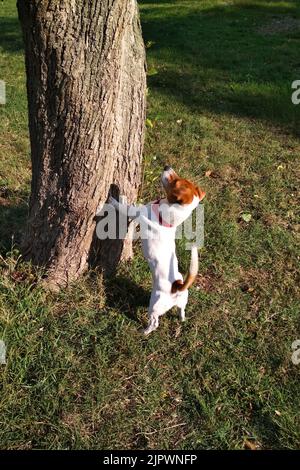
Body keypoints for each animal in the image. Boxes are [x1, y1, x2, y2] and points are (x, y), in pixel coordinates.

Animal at [109, 165, 205, 334]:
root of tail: (177, 287)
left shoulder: (135, 213)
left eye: (175, 181)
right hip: (183, 302)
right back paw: (181, 319)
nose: (167, 166)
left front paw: (115, 199)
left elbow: (124, 207)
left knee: (155, 323)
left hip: (154, 306)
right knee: (182, 310)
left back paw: (144, 332)